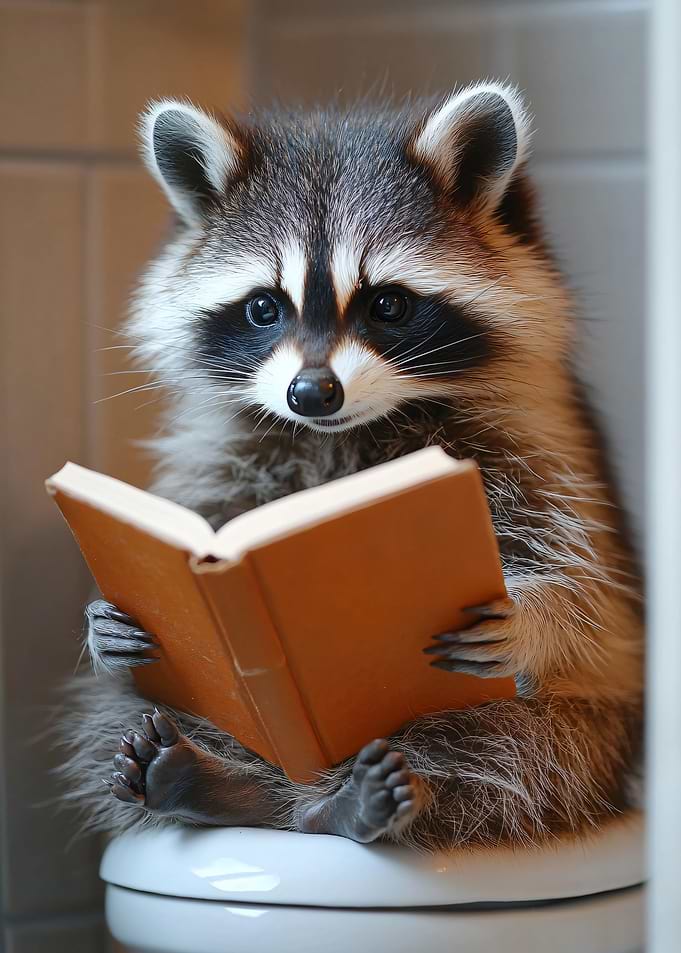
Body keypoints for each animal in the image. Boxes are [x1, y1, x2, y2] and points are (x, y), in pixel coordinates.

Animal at [60, 82, 643, 850]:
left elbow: (587, 587)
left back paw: (362, 800)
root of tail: (299, 792)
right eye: (263, 307)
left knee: (521, 745)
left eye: (387, 303)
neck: (346, 430)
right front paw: (105, 619)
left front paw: (534, 616)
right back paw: (208, 781)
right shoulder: (227, 445)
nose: (311, 393)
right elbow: (206, 508)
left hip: (588, 737)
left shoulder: (538, 438)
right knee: (116, 715)